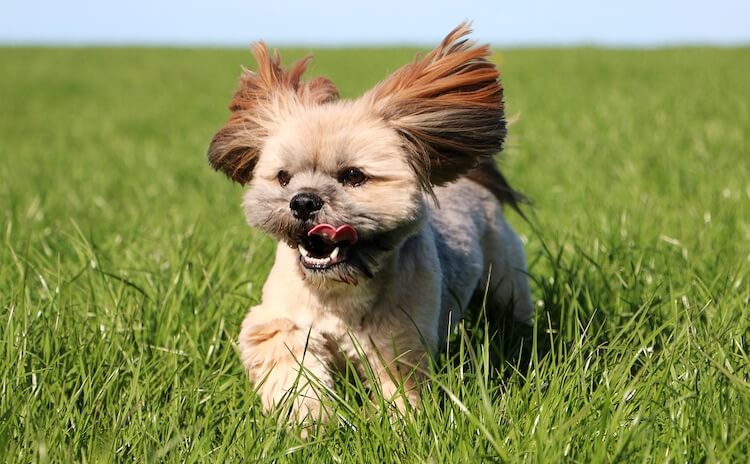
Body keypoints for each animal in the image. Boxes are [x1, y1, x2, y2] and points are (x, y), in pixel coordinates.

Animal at [206, 22, 536, 420]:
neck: (338, 293)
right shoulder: (278, 320)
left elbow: (401, 396)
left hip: (505, 280)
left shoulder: (398, 344)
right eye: (284, 177)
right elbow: (289, 361)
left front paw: (395, 424)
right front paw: (307, 415)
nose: (303, 201)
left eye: (353, 176)